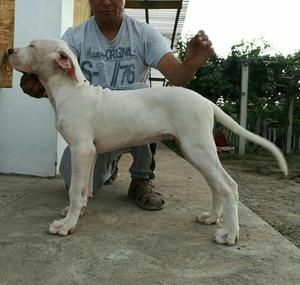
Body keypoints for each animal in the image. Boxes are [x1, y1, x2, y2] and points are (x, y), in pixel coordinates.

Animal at [8, 38, 288, 245]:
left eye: (32, 46)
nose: (9, 50)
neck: (70, 91)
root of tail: (206, 101)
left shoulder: (81, 149)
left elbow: (75, 189)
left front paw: (66, 226)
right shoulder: (90, 152)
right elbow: (83, 188)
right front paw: (74, 213)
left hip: (197, 148)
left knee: (228, 186)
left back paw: (229, 235)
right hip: (197, 151)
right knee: (217, 186)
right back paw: (211, 218)